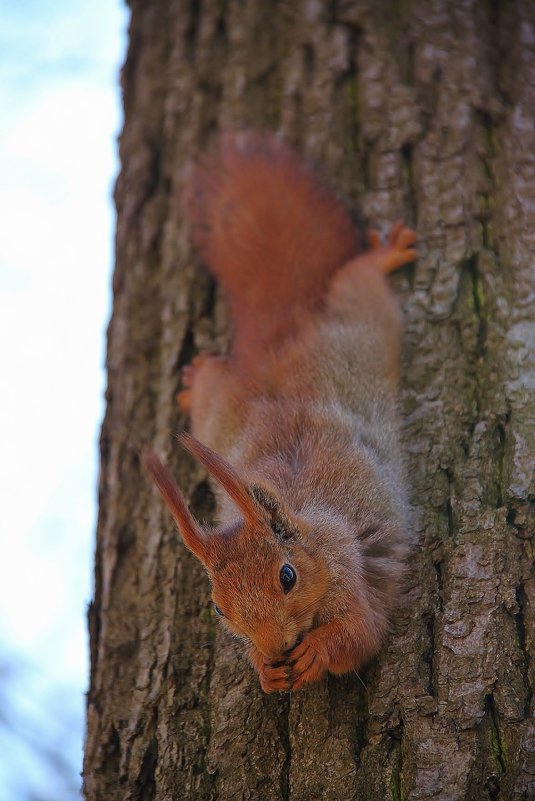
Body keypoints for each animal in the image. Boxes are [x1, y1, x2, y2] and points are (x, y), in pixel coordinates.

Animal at [144, 133, 416, 692]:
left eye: (287, 577)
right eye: (218, 609)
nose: (275, 649)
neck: (310, 526)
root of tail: (278, 337)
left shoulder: (353, 571)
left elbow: (361, 632)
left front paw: (315, 652)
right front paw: (263, 669)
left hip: (361, 315)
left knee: (359, 277)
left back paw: (386, 253)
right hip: (218, 403)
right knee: (213, 377)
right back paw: (193, 380)